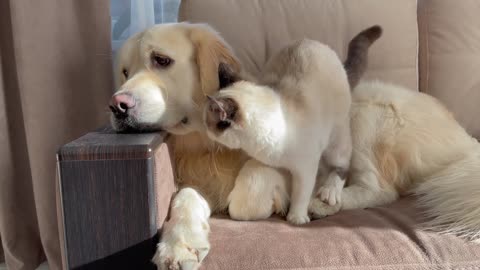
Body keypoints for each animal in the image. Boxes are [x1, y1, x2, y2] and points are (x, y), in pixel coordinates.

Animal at [109, 22, 480, 268]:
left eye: (161, 60)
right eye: (124, 71)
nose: (117, 106)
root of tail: (465, 139)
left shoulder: (299, 160)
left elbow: (253, 184)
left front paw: (273, 206)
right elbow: (185, 198)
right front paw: (179, 245)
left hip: (359, 117)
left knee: (378, 188)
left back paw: (325, 202)